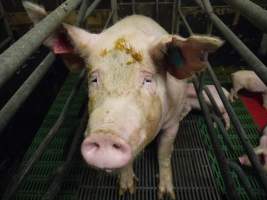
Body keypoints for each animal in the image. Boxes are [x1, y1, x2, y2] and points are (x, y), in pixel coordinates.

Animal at [23, 1, 224, 198]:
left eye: (147, 80)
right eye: (94, 79)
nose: (105, 135)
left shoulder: (172, 123)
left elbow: (164, 153)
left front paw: (166, 194)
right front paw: (126, 190)